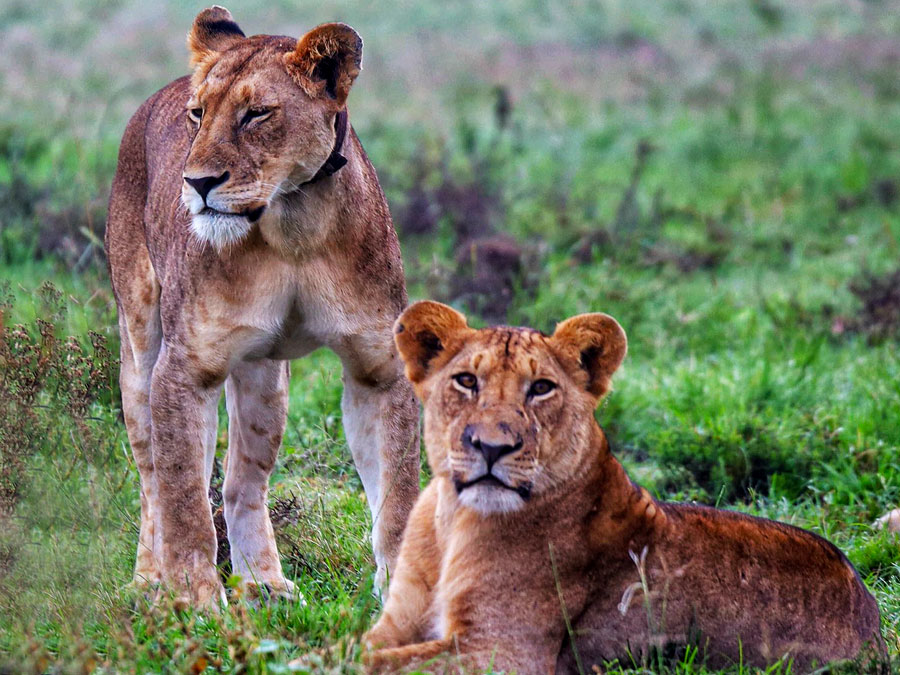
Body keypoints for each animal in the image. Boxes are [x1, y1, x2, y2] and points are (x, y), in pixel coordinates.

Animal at [366, 304, 884, 672]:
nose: (492, 447)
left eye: (541, 388)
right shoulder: (399, 619)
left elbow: (368, 662)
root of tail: (874, 626)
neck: (452, 521)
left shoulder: (500, 652)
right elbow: (359, 644)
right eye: (466, 381)